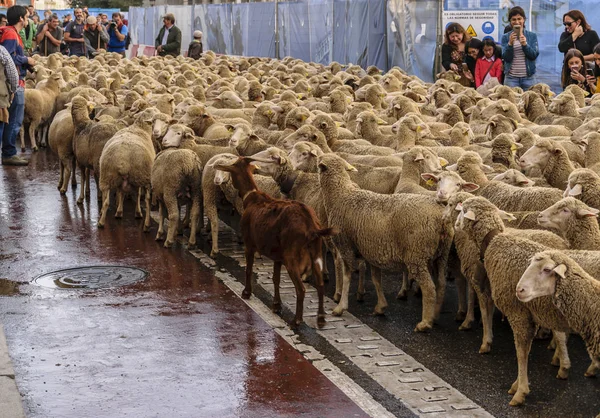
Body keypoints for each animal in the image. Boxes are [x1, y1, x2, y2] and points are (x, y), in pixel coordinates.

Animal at [217, 157, 338, 326]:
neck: (253, 198)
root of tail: (311, 226)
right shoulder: (277, 256)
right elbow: (275, 279)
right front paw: (276, 305)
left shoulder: (249, 244)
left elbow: (248, 269)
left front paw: (247, 292)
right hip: (316, 253)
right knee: (320, 285)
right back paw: (320, 318)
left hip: (292, 257)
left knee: (301, 288)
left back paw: (297, 320)